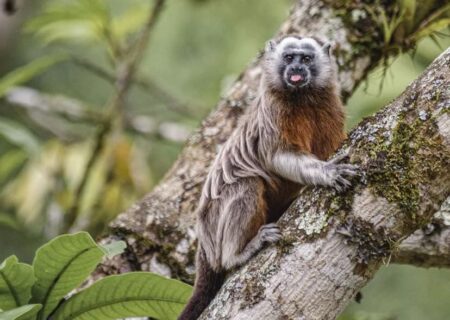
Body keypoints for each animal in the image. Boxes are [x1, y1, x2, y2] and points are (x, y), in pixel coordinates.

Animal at [178, 35, 356, 320]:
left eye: (306, 59)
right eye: (289, 58)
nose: (296, 69)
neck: (303, 99)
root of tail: (203, 244)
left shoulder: (331, 108)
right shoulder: (274, 110)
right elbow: (276, 156)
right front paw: (327, 173)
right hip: (214, 225)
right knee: (247, 185)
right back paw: (237, 255)